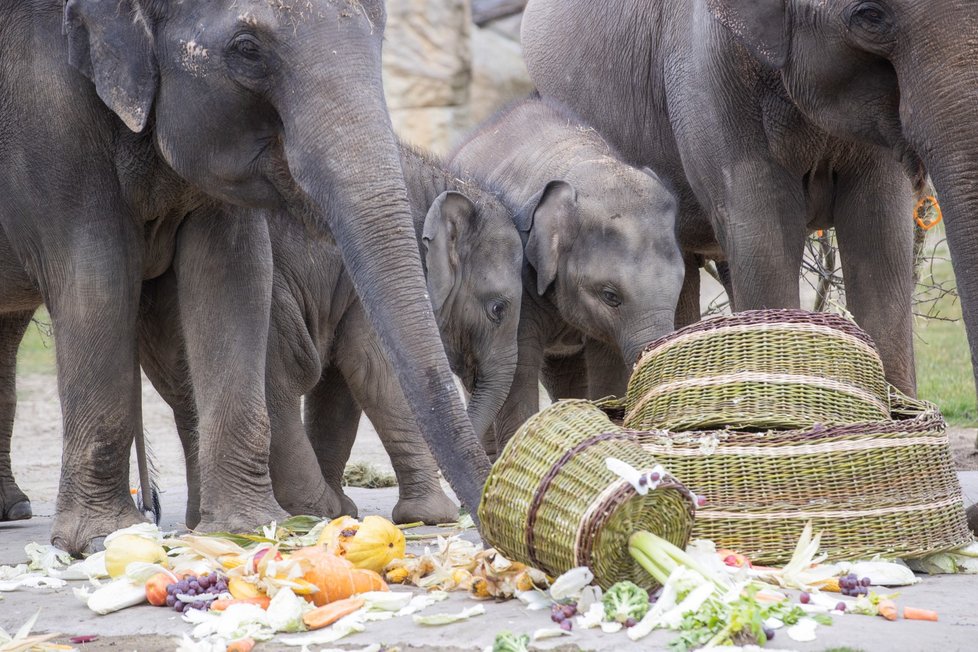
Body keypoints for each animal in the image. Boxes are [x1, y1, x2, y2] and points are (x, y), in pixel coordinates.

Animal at [140, 143, 524, 524]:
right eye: (498, 309)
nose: (463, 505)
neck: (443, 182)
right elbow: (375, 369)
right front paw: (432, 515)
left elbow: (340, 386)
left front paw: (348, 510)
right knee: (285, 373)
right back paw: (312, 509)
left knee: (186, 391)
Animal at [448, 95, 684, 454]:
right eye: (610, 296)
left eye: (679, 284)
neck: (582, 162)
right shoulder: (517, 279)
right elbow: (517, 371)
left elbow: (608, 367)